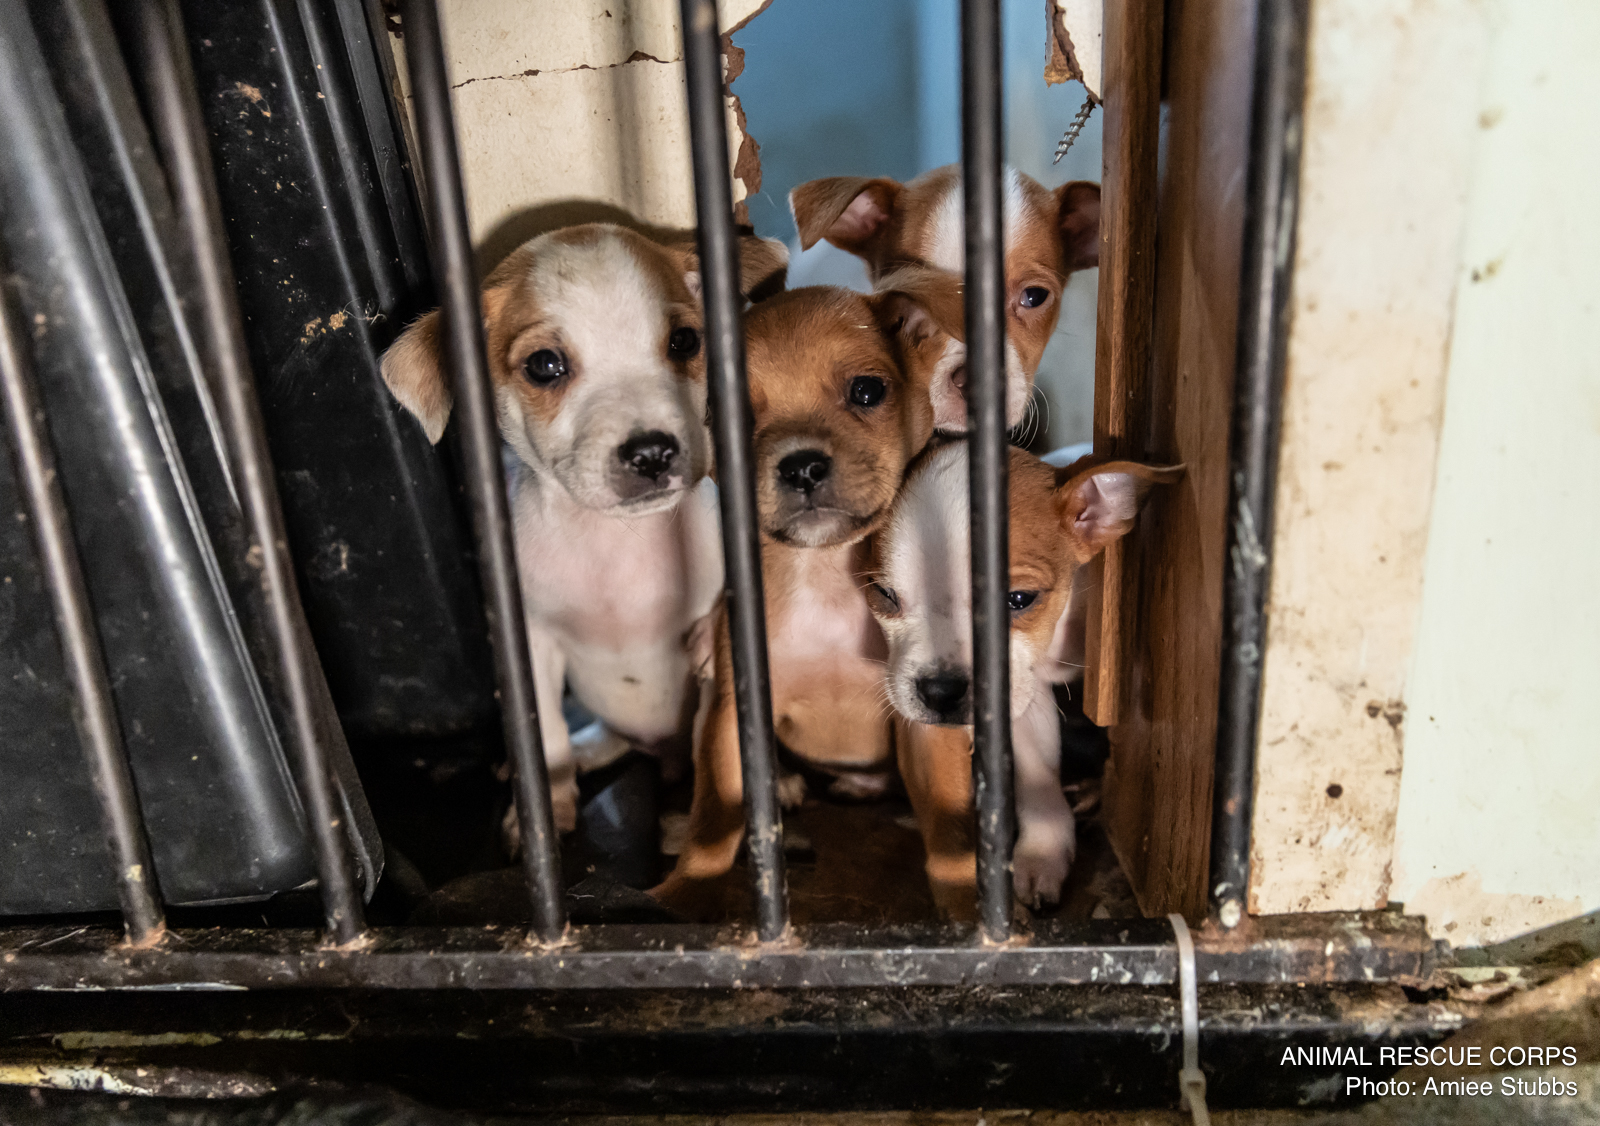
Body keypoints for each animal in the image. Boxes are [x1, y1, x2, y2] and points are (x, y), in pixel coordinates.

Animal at [377, 222, 784, 838]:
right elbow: (545, 735)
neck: (614, 543)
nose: (652, 453)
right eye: (545, 365)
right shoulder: (535, 648)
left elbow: (715, 741)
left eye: (684, 342)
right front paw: (547, 808)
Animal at [649, 283, 934, 914]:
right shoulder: (736, 710)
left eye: (868, 391)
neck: (821, 571)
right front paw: (684, 891)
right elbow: (714, 817)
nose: (802, 465)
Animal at [870, 441, 1184, 914]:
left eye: (1019, 599)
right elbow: (1038, 780)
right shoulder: (1026, 698)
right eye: (884, 595)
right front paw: (1044, 852)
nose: (940, 690)